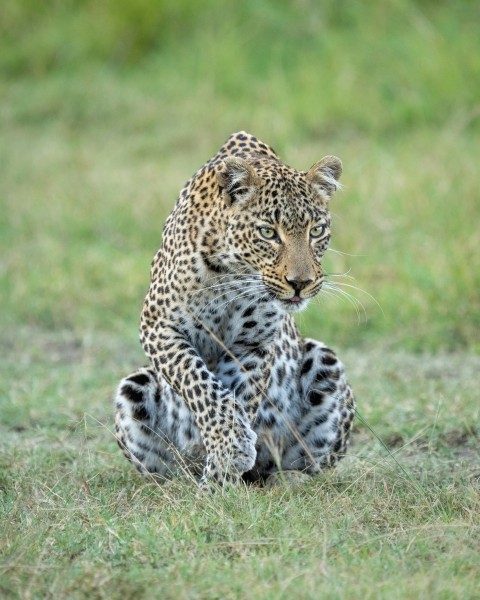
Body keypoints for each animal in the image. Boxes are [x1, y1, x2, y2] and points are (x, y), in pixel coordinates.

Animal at [114, 131, 356, 488]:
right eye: (268, 232)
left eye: (316, 231)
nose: (301, 283)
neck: (234, 273)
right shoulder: (159, 325)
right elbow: (201, 384)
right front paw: (229, 453)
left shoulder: (254, 343)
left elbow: (240, 395)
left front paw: (223, 475)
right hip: (134, 387)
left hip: (325, 363)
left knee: (302, 465)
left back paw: (286, 479)